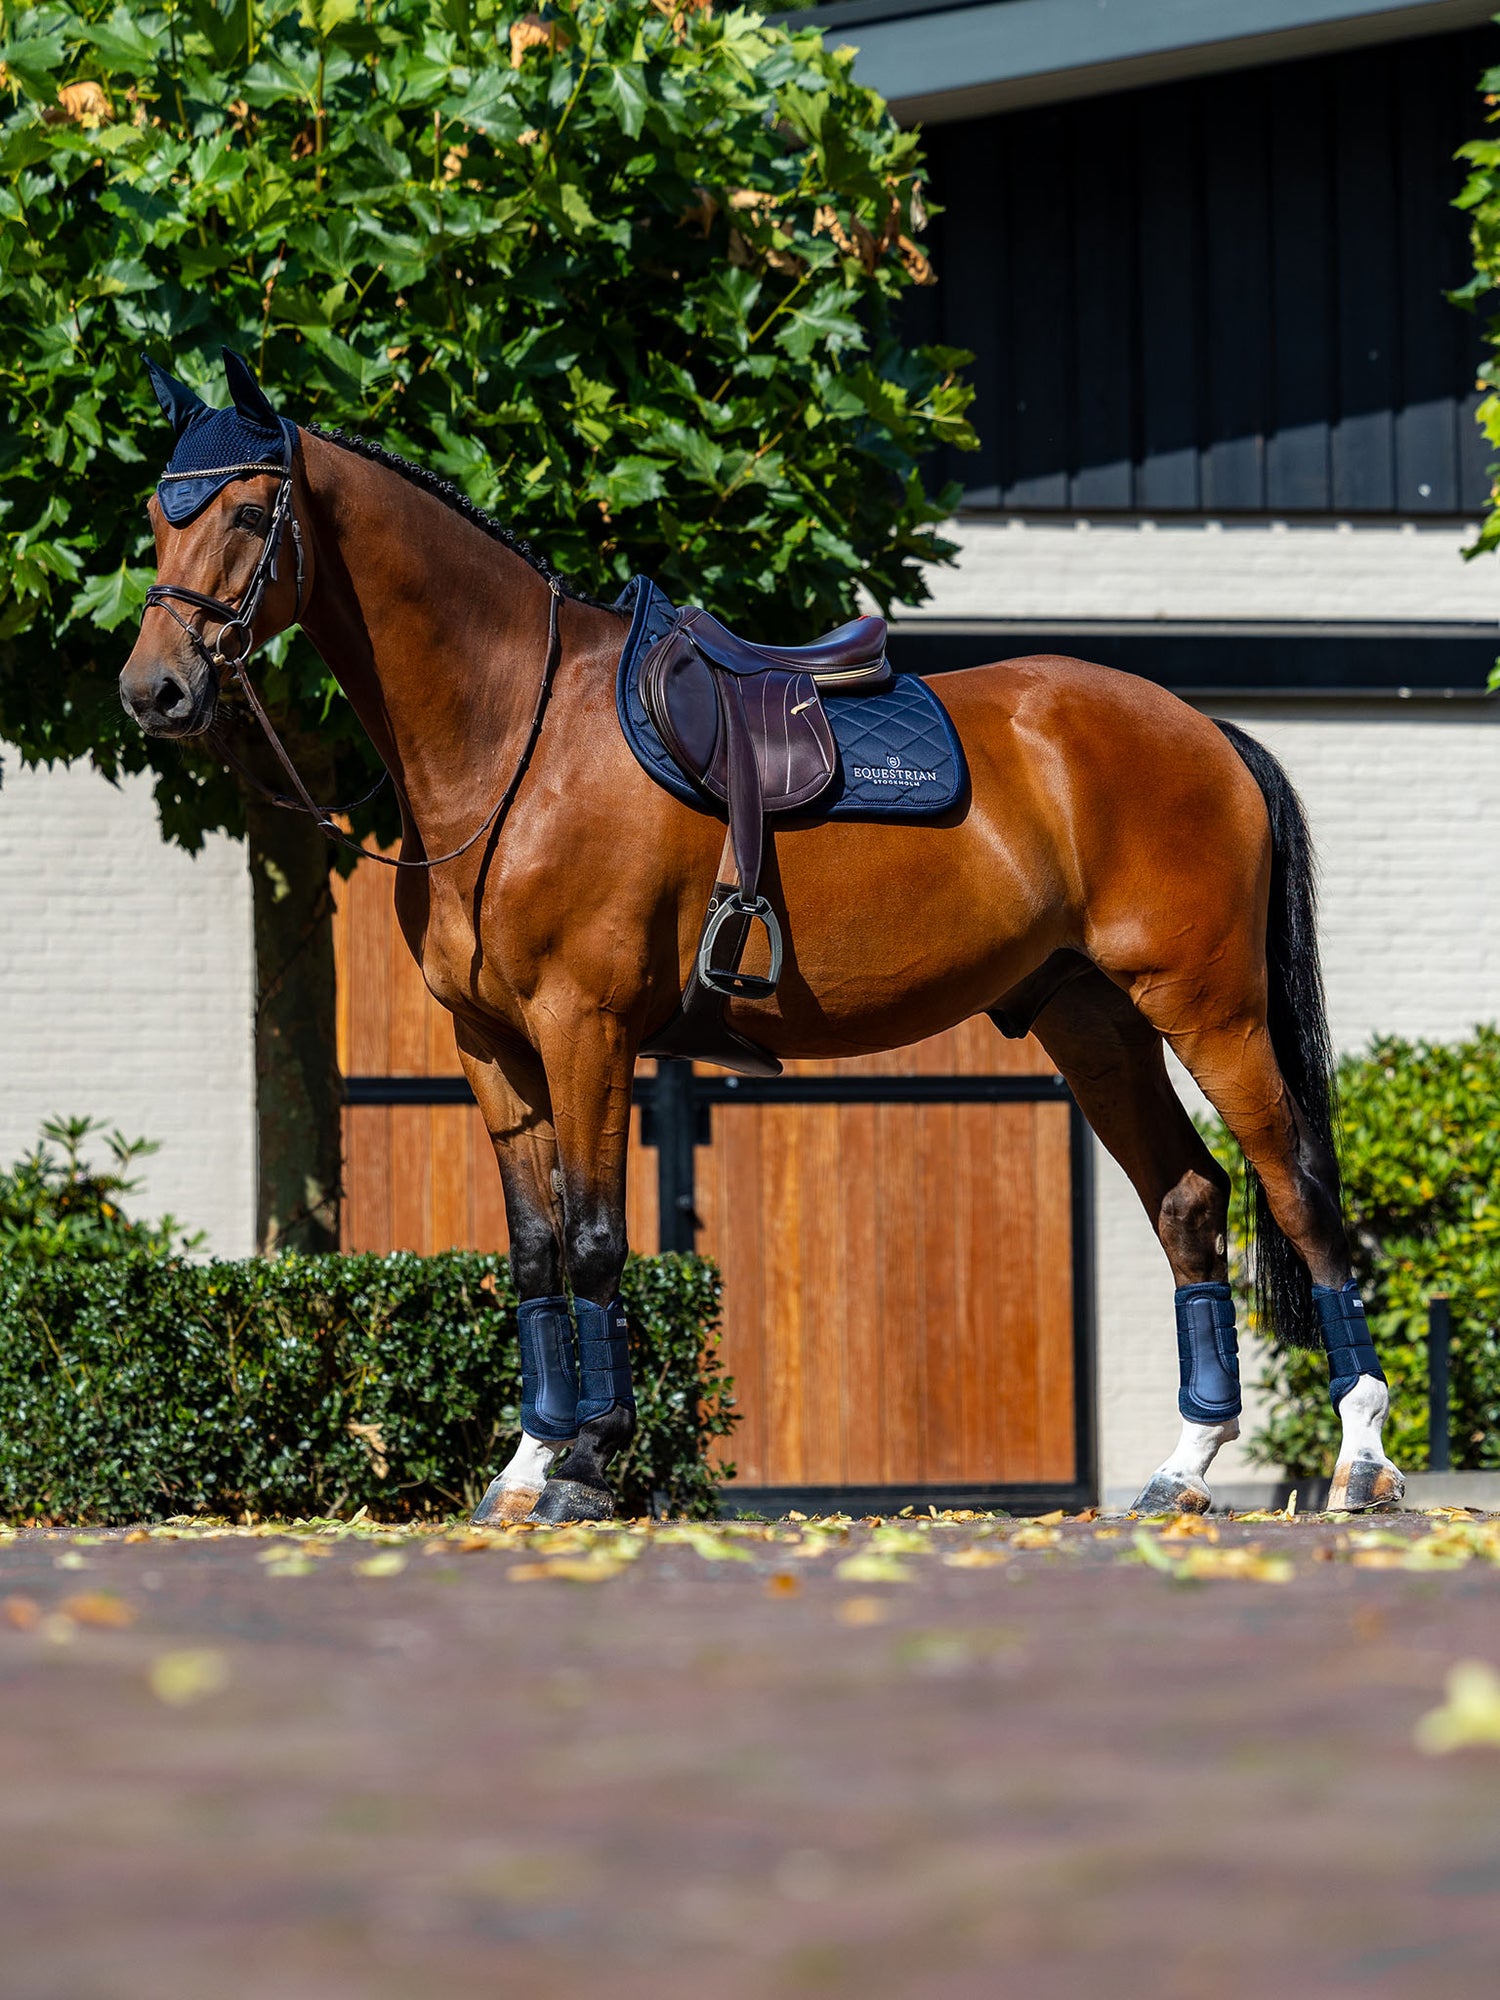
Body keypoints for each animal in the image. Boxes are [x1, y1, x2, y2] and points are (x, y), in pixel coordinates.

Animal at [119, 352, 1404, 1524]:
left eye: (247, 512)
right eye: (154, 513)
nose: (154, 692)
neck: (515, 738)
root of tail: (1206, 731)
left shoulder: (586, 1028)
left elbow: (597, 1241)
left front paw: (588, 1466)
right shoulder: (491, 1048)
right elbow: (533, 1252)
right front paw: (524, 1469)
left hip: (1210, 1009)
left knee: (1299, 1191)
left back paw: (1361, 1460)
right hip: (1093, 1017)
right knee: (1188, 1196)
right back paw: (1183, 1468)